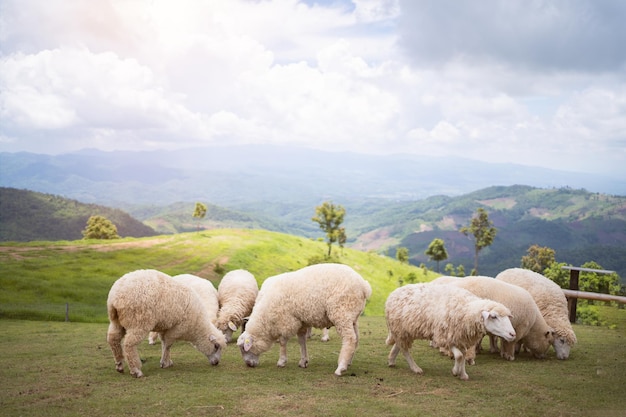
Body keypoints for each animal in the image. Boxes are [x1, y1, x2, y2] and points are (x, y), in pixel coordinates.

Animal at [234, 262, 370, 376]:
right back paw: (348, 362)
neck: (265, 318)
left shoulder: (286, 320)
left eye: (243, 348)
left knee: (350, 339)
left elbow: (283, 342)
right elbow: (301, 341)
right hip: (352, 317)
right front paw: (303, 361)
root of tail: (364, 285)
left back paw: (341, 367)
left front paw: (281, 361)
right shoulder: (300, 321)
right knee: (356, 339)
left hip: (342, 313)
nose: (249, 365)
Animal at [382, 282, 516, 378]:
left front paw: (463, 374)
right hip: (400, 329)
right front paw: (456, 371)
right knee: (405, 350)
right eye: (494, 316)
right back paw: (415, 368)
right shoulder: (445, 336)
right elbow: (459, 356)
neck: (466, 310)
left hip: (404, 331)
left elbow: (463, 355)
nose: (512, 334)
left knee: (399, 346)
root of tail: (393, 294)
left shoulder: (460, 338)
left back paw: (391, 361)